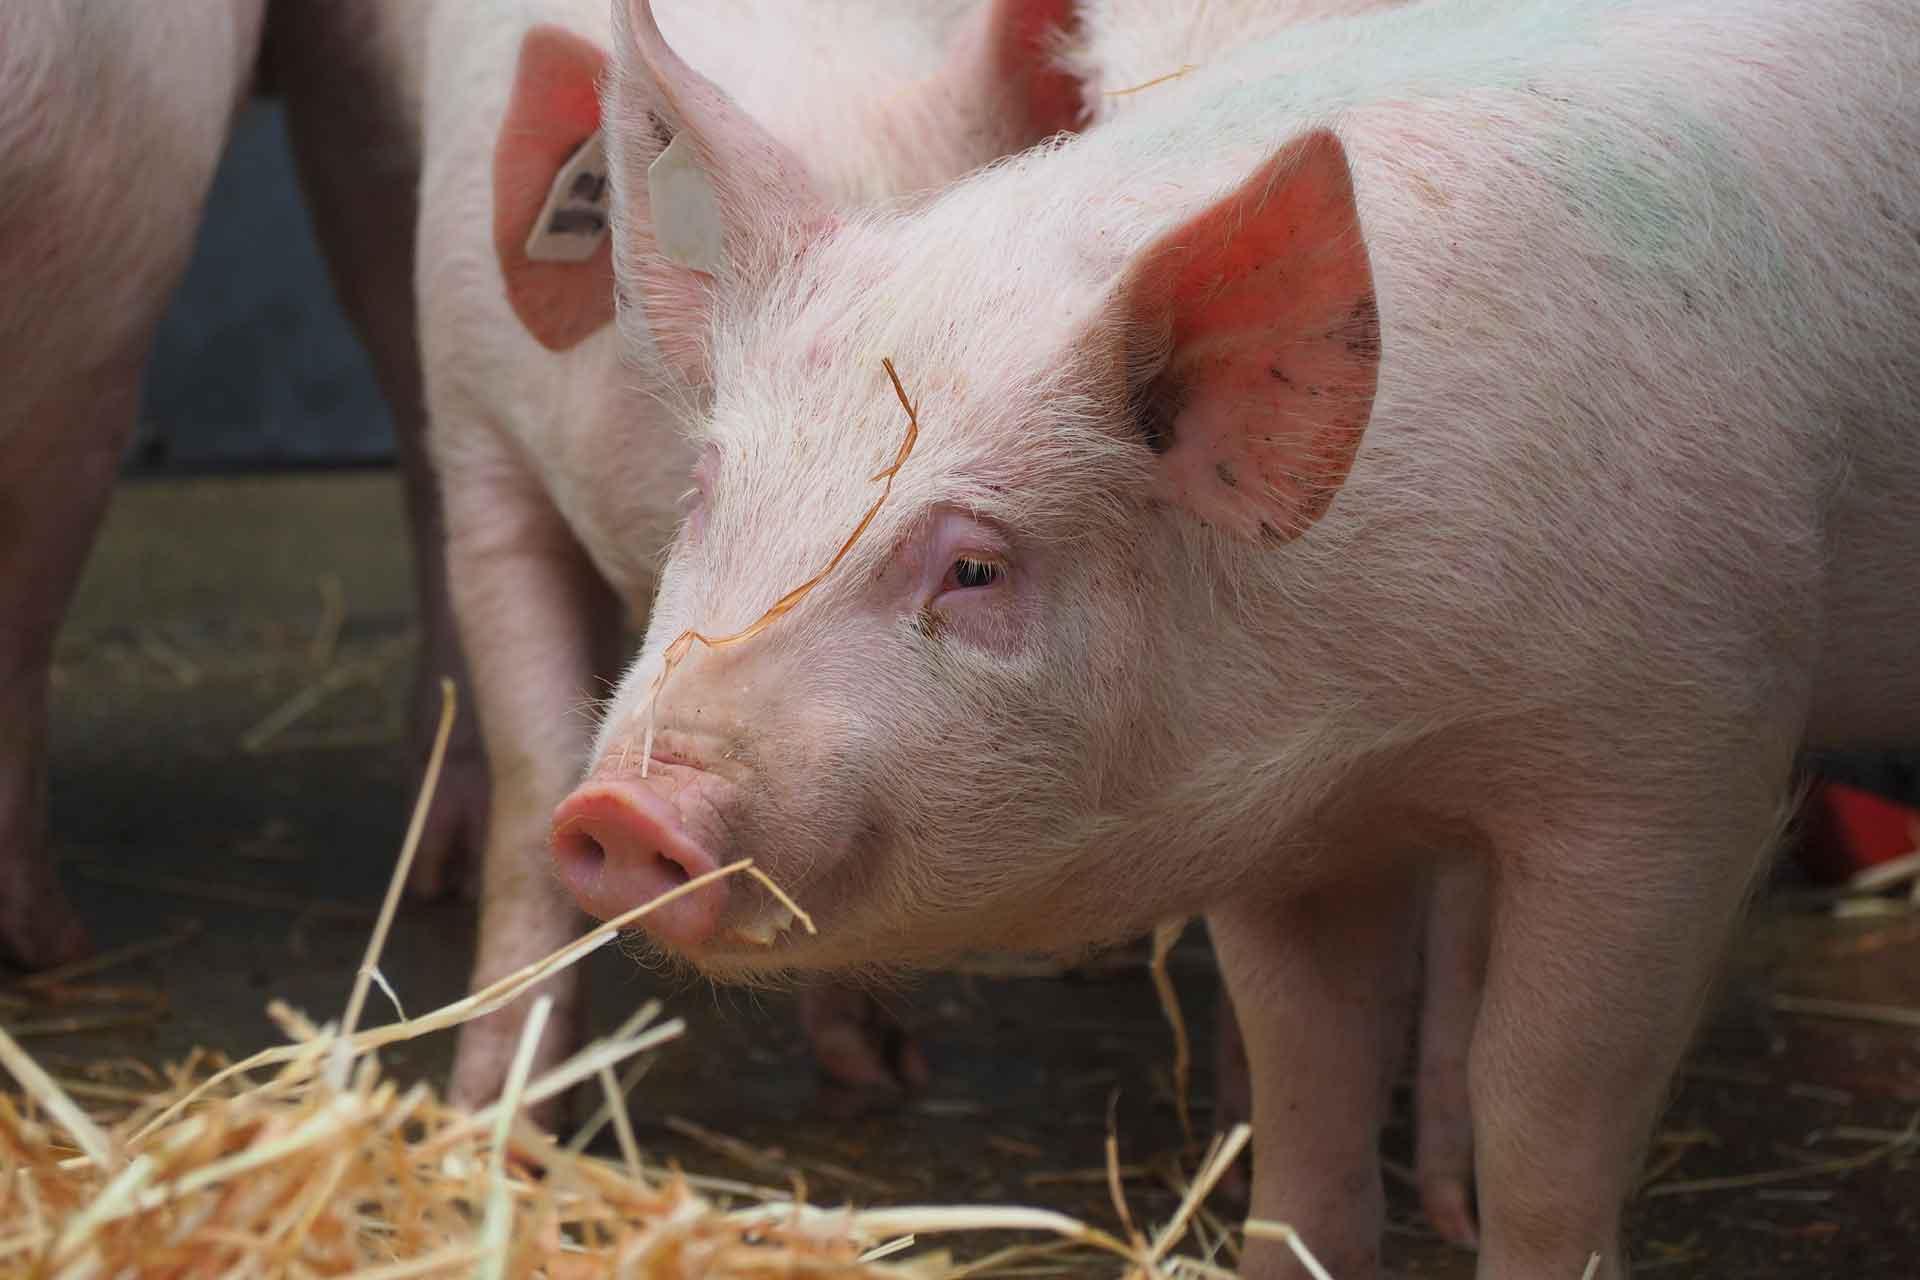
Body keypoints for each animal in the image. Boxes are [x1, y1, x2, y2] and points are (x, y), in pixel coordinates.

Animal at [266, 0, 1098, 1105]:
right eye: (709, 459)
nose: (641, 811)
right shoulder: (487, 438)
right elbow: (535, 774)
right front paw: (495, 1112)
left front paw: (881, 1068)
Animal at [549, 2, 1920, 1280]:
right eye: (705, 494)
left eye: (977, 565)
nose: (627, 807)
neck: (1402, 710)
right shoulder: (1280, 810)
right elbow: (1308, 1079)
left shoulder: (1687, 759)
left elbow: (1543, 1102)